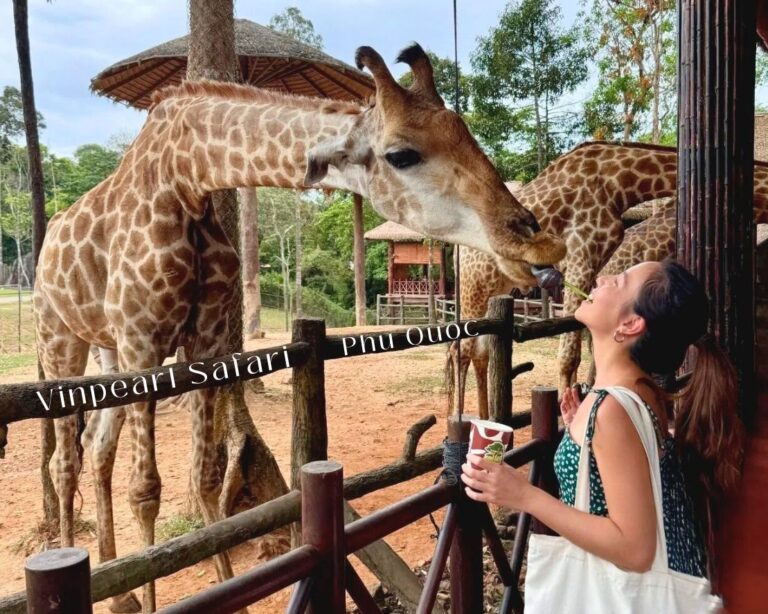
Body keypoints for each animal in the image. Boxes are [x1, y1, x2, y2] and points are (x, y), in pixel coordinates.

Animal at [34, 44, 564, 614]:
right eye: (402, 154)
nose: (538, 241)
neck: (186, 178)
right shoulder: (143, 340)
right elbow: (147, 489)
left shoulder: (205, 340)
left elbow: (204, 476)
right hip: (61, 339)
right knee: (66, 460)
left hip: (107, 351)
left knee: (98, 446)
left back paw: (121, 595)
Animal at [448, 141, 768, 418]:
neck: (620, 183)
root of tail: (456, 251)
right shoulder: (581, 252)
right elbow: (569, 355)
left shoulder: (595, 264)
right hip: (473, 285)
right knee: (461, 350)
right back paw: (458, 423)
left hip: (493, 288)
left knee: (478, 352)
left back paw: (483, 418)